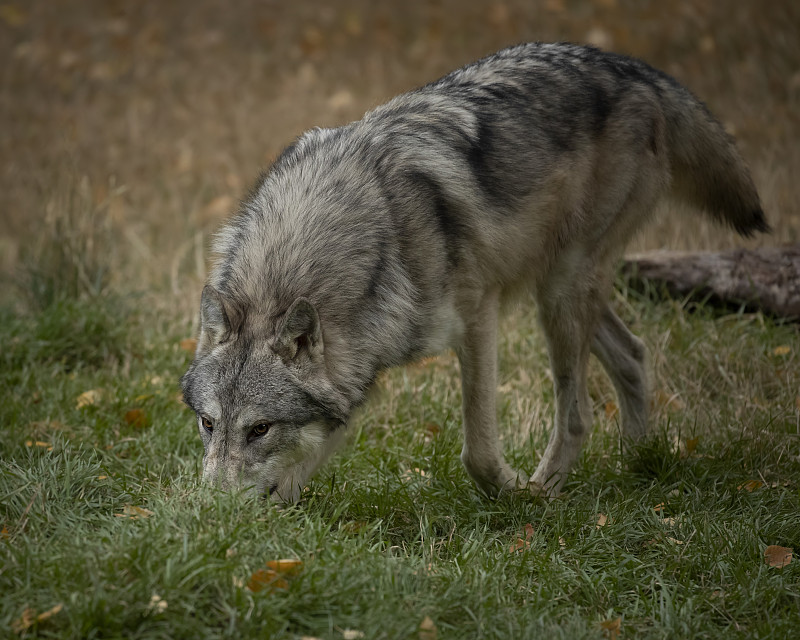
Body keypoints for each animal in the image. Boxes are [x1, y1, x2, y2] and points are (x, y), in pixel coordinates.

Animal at [181, 43, 768, 504]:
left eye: (260, 429)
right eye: (208, 424)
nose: (212, 513)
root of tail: (637, 70)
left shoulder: (477, 318)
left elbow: (478, 451)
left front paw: (510, 493)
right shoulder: (359, 367)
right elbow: (302, 463)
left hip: (562, 290)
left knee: (578, 411)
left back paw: (545, 490)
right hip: (559, 290)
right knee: (634, 353)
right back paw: (637, 464)